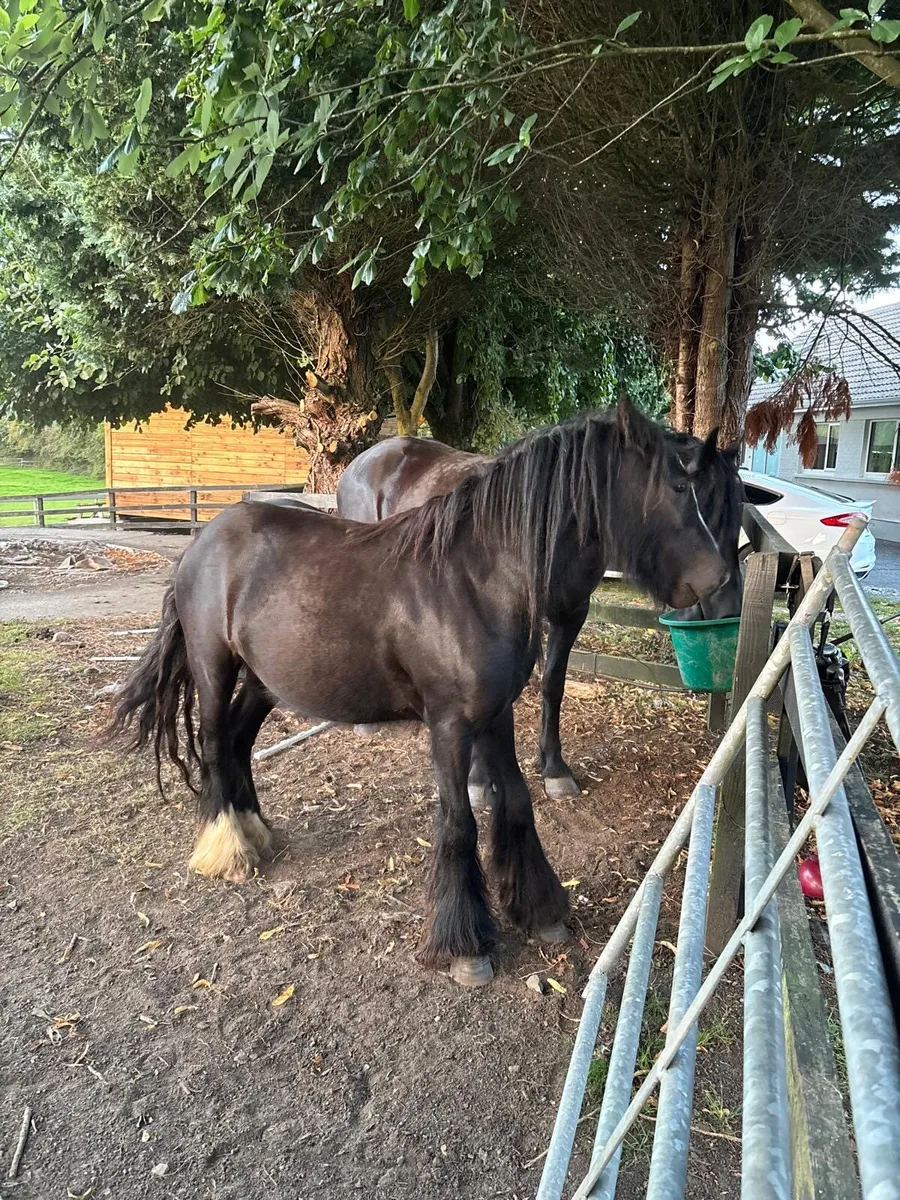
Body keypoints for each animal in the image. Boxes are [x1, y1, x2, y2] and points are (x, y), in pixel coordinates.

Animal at [336, 424, 744, 803]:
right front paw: (480, 780)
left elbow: (552, 684)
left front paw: (553, 768)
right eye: (701, 500)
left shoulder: (571, 612)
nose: (727, 598)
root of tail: (365, 460)